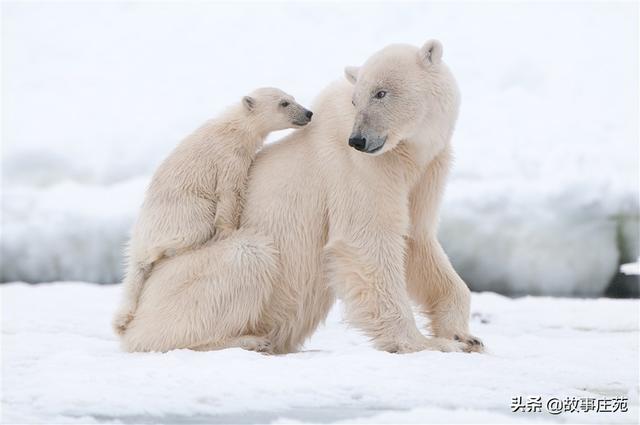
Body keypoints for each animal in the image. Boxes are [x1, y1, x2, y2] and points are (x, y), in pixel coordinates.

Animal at [115, 88, 316, 334]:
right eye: (284, 103)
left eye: (293, 98)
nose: (308, 113)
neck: (235, 127)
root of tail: (138, 242)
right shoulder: (229, 157)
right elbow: (230, 192)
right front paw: (228, 231)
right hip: (183, 213)